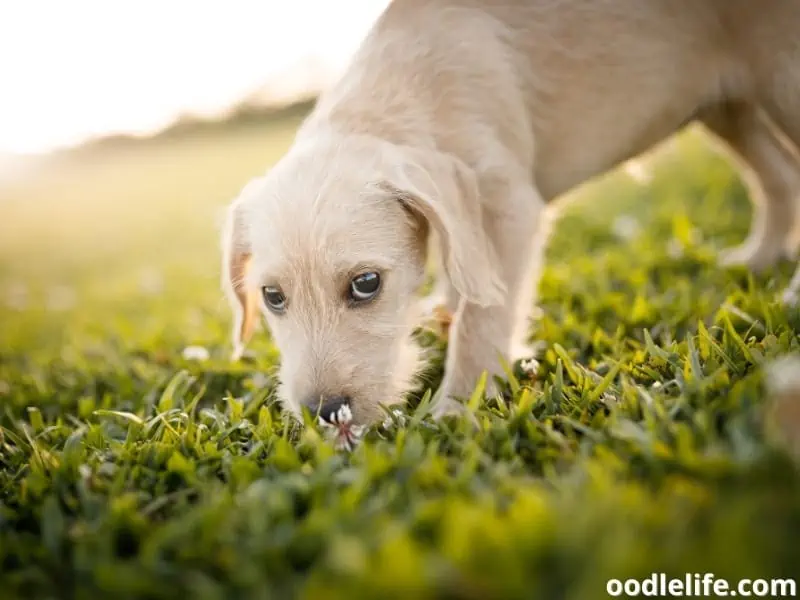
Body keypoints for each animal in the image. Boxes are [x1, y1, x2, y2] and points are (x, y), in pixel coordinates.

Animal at [220, 0, 800, 426]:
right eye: (272, 297)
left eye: (366, 284)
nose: (324, 413)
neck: (397, 100)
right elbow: (464, 274)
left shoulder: (507, 207)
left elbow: (485, 313)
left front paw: (457, 408)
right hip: (725, 109)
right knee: (779, 176)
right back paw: (761, 257)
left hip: (781, 78)